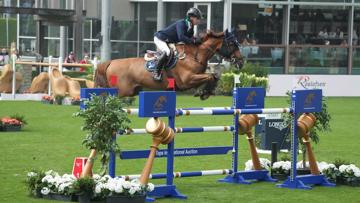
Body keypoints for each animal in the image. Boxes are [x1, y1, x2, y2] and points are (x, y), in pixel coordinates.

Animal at [94, 29, 243, 100]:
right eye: (232, 43)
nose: (241, 62)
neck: (195, 55)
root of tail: (111, 62)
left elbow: (214, 76)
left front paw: (205, 92)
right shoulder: (187, 81)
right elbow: (210, 76)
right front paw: (204, 92)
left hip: (132, 90)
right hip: (122, 92)